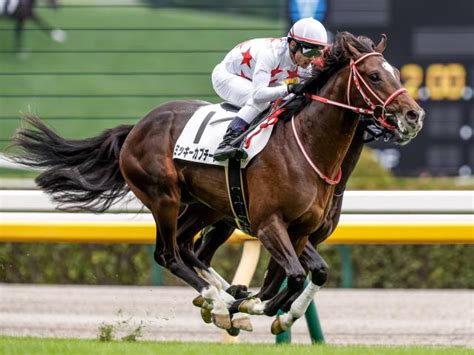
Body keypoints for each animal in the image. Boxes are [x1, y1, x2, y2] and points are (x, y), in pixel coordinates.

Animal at [12, 32, 424, 336]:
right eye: (374, 76)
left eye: (396, 72)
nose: (413, 115)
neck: (308, 148)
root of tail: (137, 127)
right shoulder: (269, 225)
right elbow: (290, 276)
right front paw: (252, 304)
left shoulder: (300, 232)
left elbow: (304, 274)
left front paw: (270, 311)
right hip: (164, 197)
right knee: (168, 254)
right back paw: (220, 301)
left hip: (209, 209)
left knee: (188, 248)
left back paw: (225, 300)